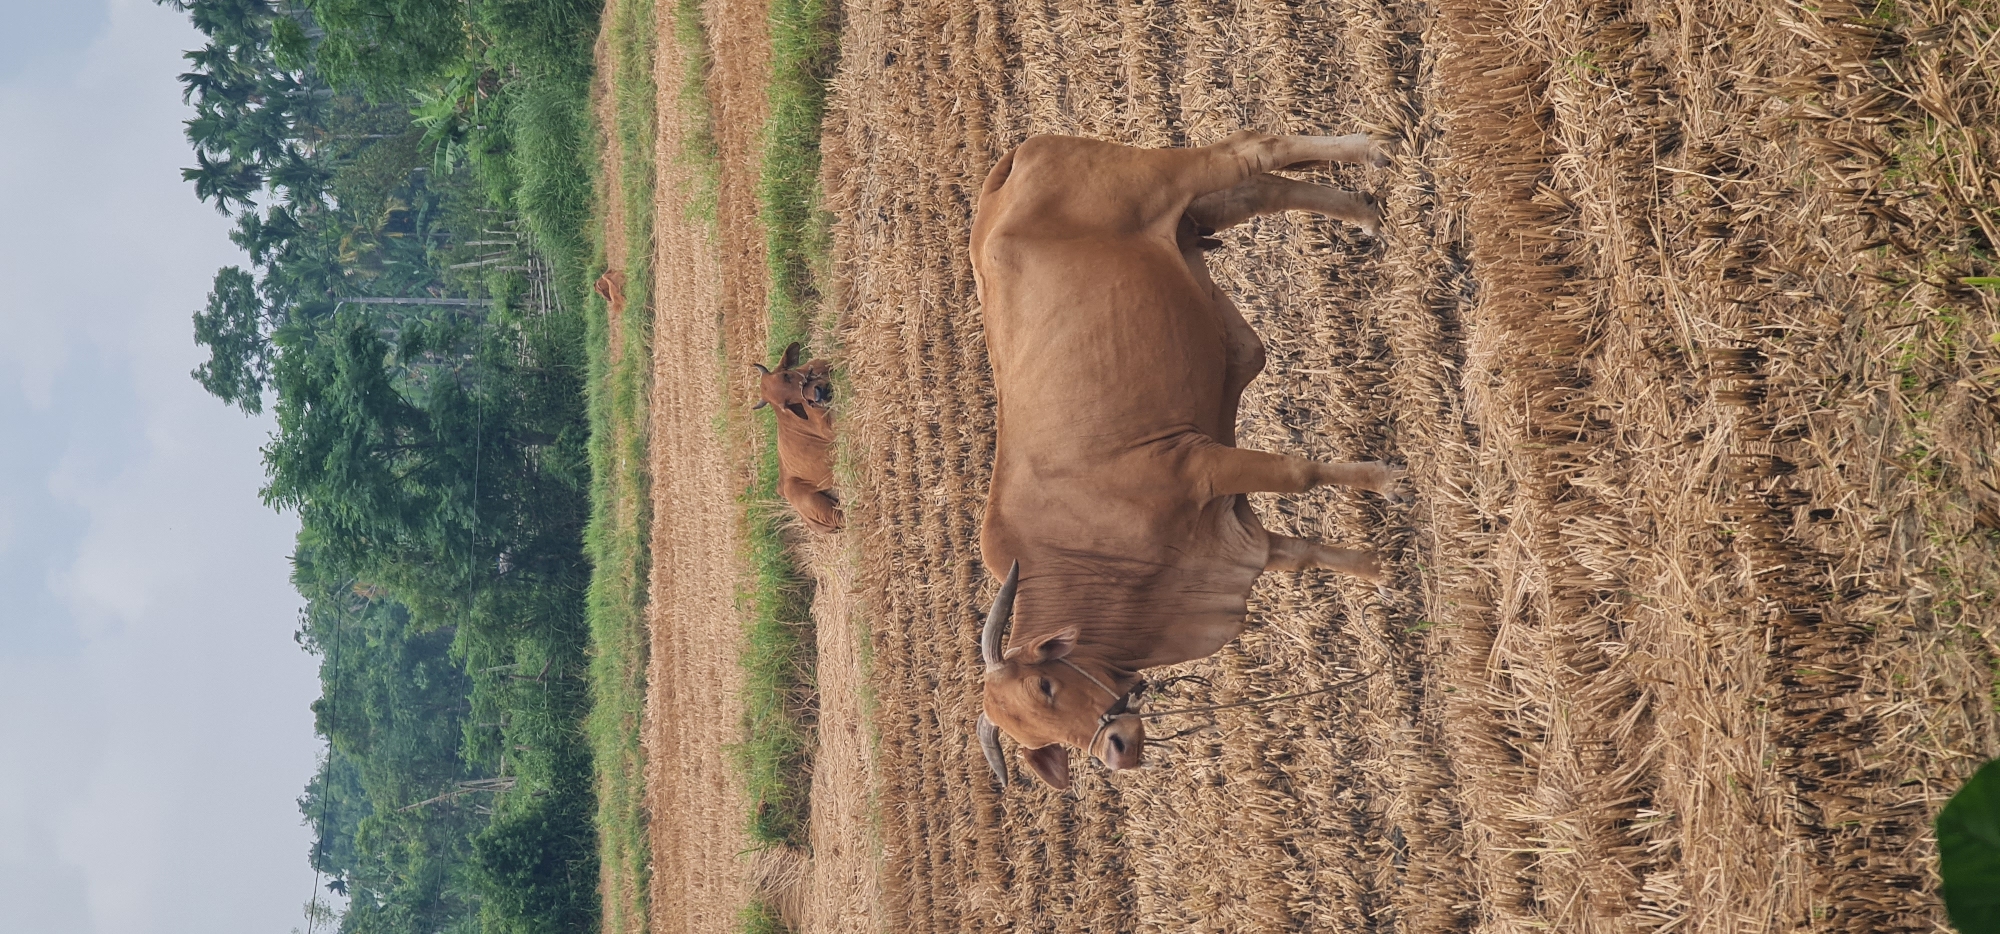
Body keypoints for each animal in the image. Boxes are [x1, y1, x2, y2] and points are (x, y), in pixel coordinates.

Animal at [971, 131, 1406, 790]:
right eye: (1036, 738)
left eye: (1045, 685)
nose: (1117, 748)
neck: (1080, 554)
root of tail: (1009, 166)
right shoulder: (1232, 532)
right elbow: (1303, 553)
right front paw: (1379, 569)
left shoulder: (1202, 466)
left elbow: (1302, 474)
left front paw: (1387, 481)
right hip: (1191, 220)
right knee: (1259, 191)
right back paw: (1364, 213)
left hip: (1164, 179)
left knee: (1251, 151)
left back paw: (1372, 152)